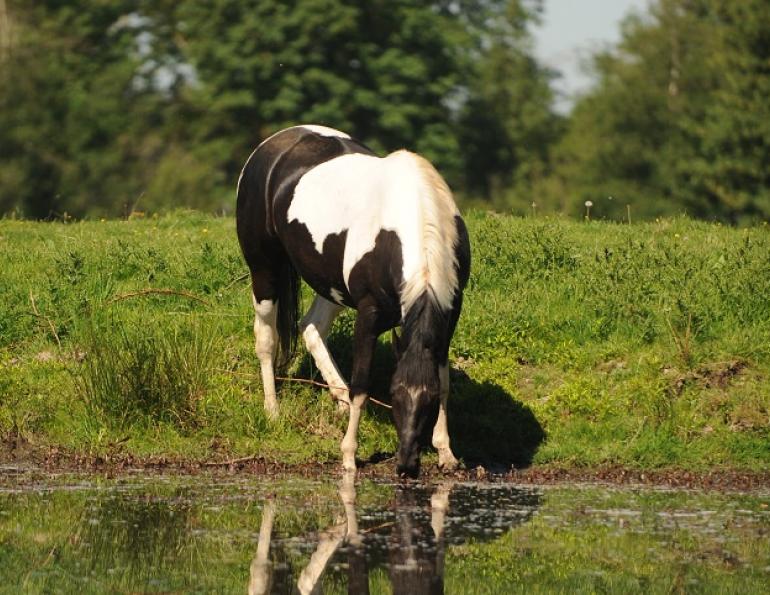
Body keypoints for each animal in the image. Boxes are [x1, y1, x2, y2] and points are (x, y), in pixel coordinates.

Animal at [235, 124, 470, 477]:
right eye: (393, 394)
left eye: (427, 401)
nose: (406, 465)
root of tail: (275, 143)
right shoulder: (368, 314)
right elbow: (361, 385)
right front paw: (348, 455)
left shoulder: (450, 311)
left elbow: (443, 381)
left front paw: (445, 452)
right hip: (264, 270)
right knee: (266, 339)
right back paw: (273, 410)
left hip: (330, 285)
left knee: (311, 328)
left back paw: (339, 398)